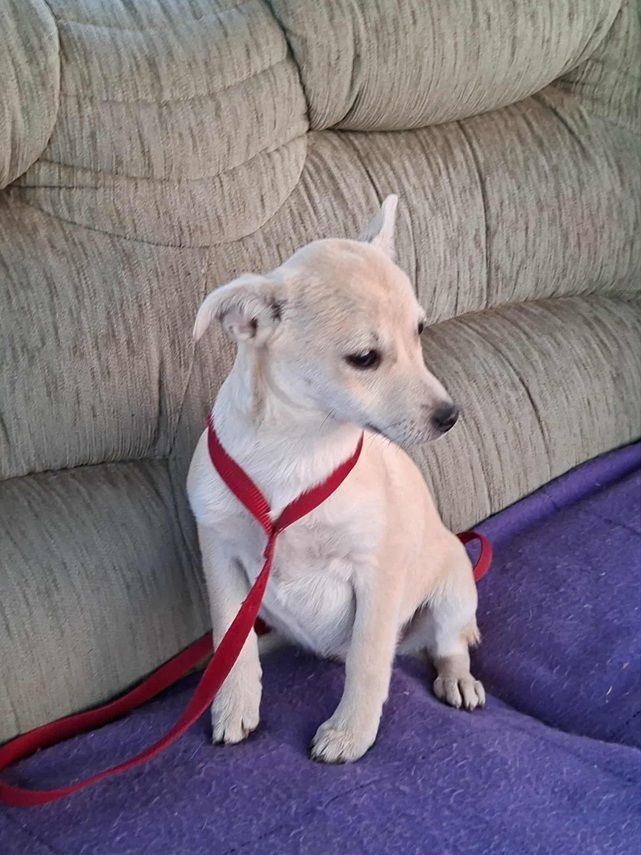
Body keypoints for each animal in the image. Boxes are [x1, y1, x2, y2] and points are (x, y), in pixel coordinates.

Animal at [187, 195, 484, 763]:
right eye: (364, 359)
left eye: (419, 331)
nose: (451, 416)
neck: (296, 448)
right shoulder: (220, 559)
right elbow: (231, 644)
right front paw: (233, 705)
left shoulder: (376, 574)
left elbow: (367, 662)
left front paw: (350, 734)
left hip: (454, 589)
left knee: (449, 643)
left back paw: (457, 677)